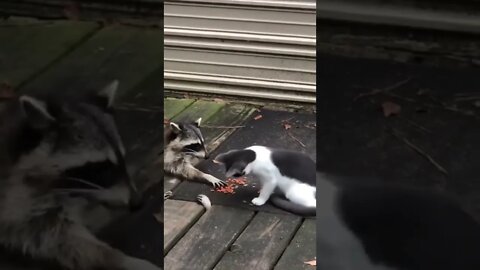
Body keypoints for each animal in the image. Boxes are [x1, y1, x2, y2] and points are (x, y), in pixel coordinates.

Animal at [0, 81, 161, 270]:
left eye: (122, 159)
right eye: (100, 167)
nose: (138, 203)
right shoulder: (13, 196)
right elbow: (46, 233)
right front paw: (116, 258)